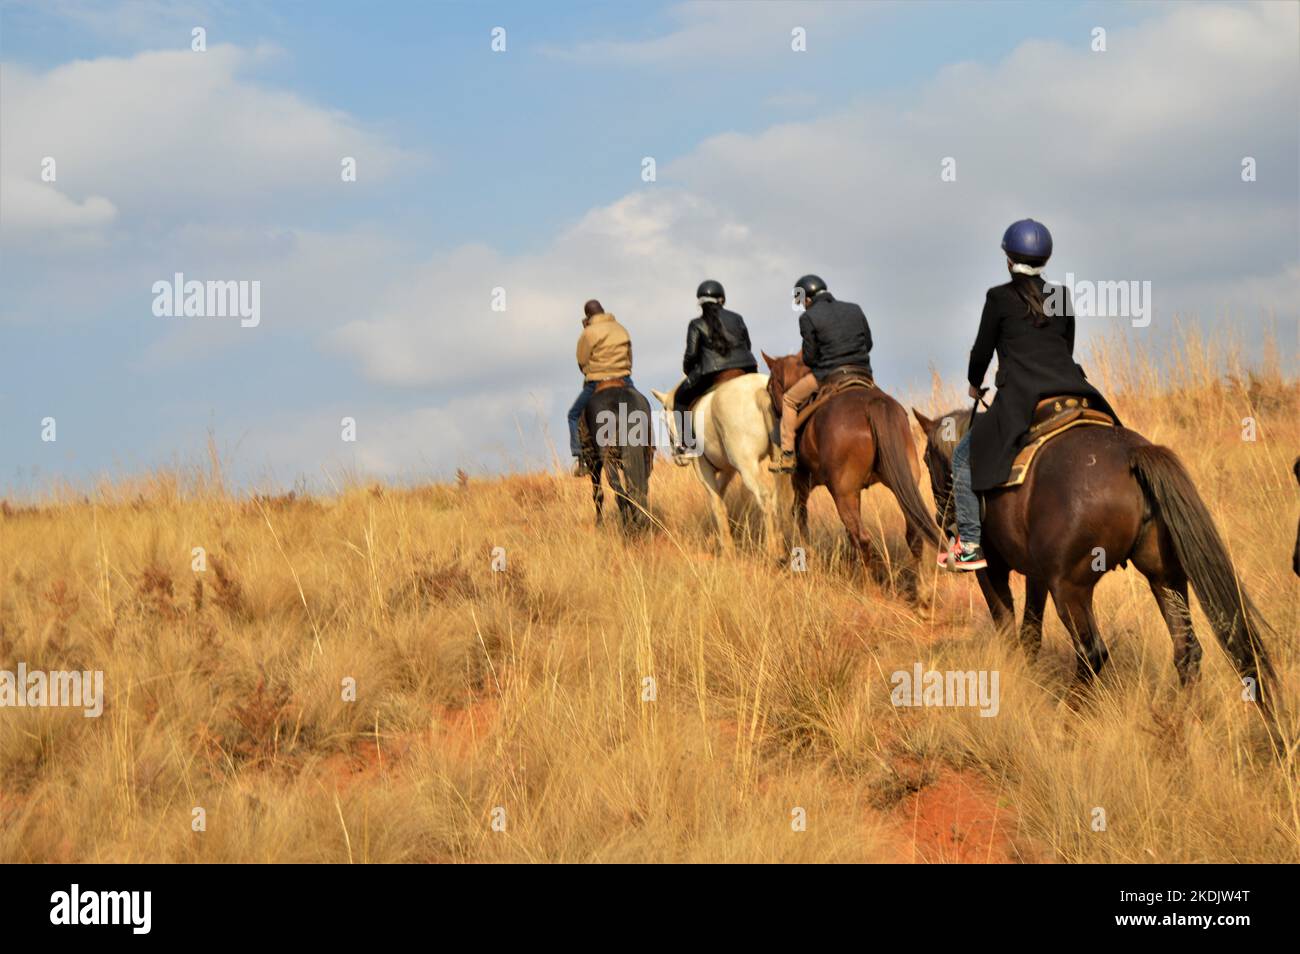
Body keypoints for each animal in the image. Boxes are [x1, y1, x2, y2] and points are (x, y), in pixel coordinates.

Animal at [582, 384, 655, 535]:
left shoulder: (595, 463)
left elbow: (598, 494)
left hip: (602, 461)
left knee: (616, 494)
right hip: (645, 457)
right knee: (637, 490)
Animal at [650, 371, 780, 556]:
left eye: (663, 419)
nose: (678, 457)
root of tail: (760, 390)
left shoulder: (703, 468)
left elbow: (716, 503)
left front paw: (727, 550)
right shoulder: (728, 470)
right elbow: (720, 496)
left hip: (747, 465)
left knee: (764, 496)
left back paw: (772, 549)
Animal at [764, 350, 941, 605]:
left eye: (770, 387)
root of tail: (873, 405)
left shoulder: (802, 482)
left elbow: (800, 515)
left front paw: (809, 556)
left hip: (843, 494)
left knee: (863, 538)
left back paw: (869, 587)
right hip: (902, 487)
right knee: (912, 536)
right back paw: (923, 592)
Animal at [915, 408, 1279, 748]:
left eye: (926, 459)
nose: (943, 518)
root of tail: (1134, 453)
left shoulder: (993, 571)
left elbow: (1007, 628)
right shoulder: (1037, 577)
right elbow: (1030, 633)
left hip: (1071, 589)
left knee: (1093, 653)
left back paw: (1064, 724)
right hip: (1166, 578)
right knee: (1187, 652)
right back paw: (1179, 728)